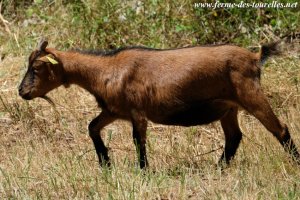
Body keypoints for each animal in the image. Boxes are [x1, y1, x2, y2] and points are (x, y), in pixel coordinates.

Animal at [19, 39, 300, 169]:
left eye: (36, 67)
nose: (22, 92)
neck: (106, 69)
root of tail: (254, 56)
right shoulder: (113, 110)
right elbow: (92, 127)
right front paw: (105, 163)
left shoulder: (137, 112)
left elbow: (138, 141)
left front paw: (143, 170)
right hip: (228, 108)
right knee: (234, 137)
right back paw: (219, 168)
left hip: (251, 94)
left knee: (280, 129)